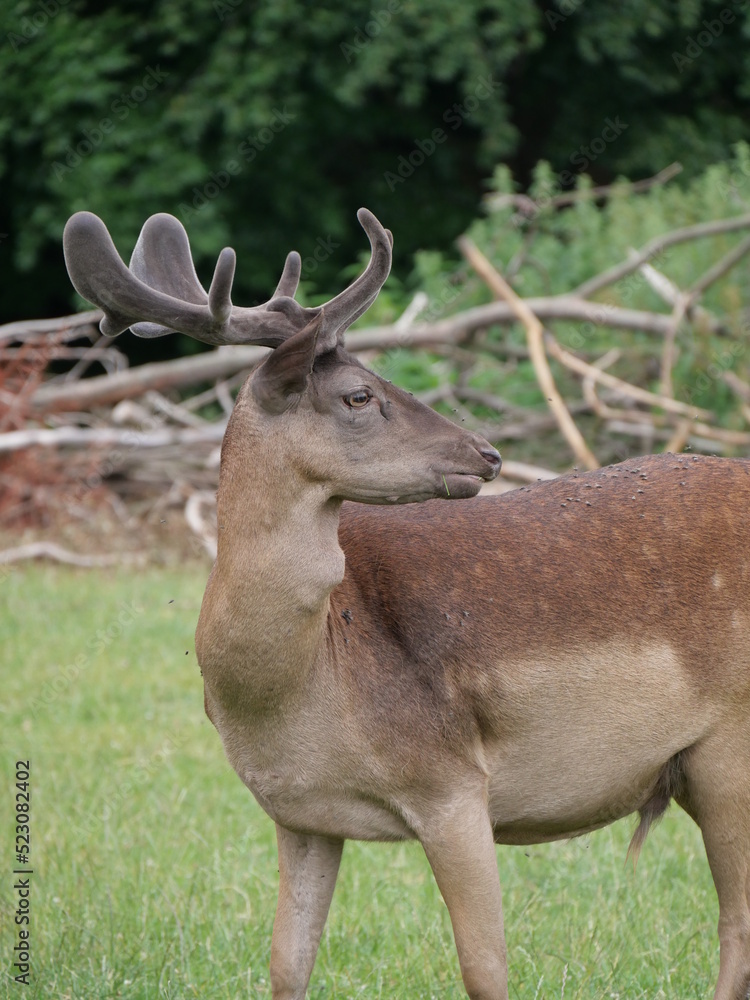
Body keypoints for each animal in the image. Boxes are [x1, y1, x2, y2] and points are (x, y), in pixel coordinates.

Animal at [63, 207, 750, 1000]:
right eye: (360, 394)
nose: (486, 453)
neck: (300, 687)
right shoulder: (300, 815)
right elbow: (286, 965)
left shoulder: (452, 781)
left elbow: (485, 967)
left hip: (728, 749)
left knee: (737, 929)